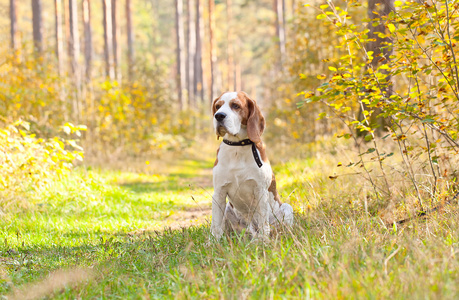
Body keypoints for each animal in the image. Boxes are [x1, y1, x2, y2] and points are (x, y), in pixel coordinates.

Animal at [210, 91, 292, 241]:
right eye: (218, 106)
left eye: (235, 106)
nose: (218, 115)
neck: (237, 147)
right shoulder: (219, 192)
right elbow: (216, 226)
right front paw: (213, 243)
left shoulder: (260, 191)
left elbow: (263, 223)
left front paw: (265, 241)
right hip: (228, 209)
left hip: (287, 208)